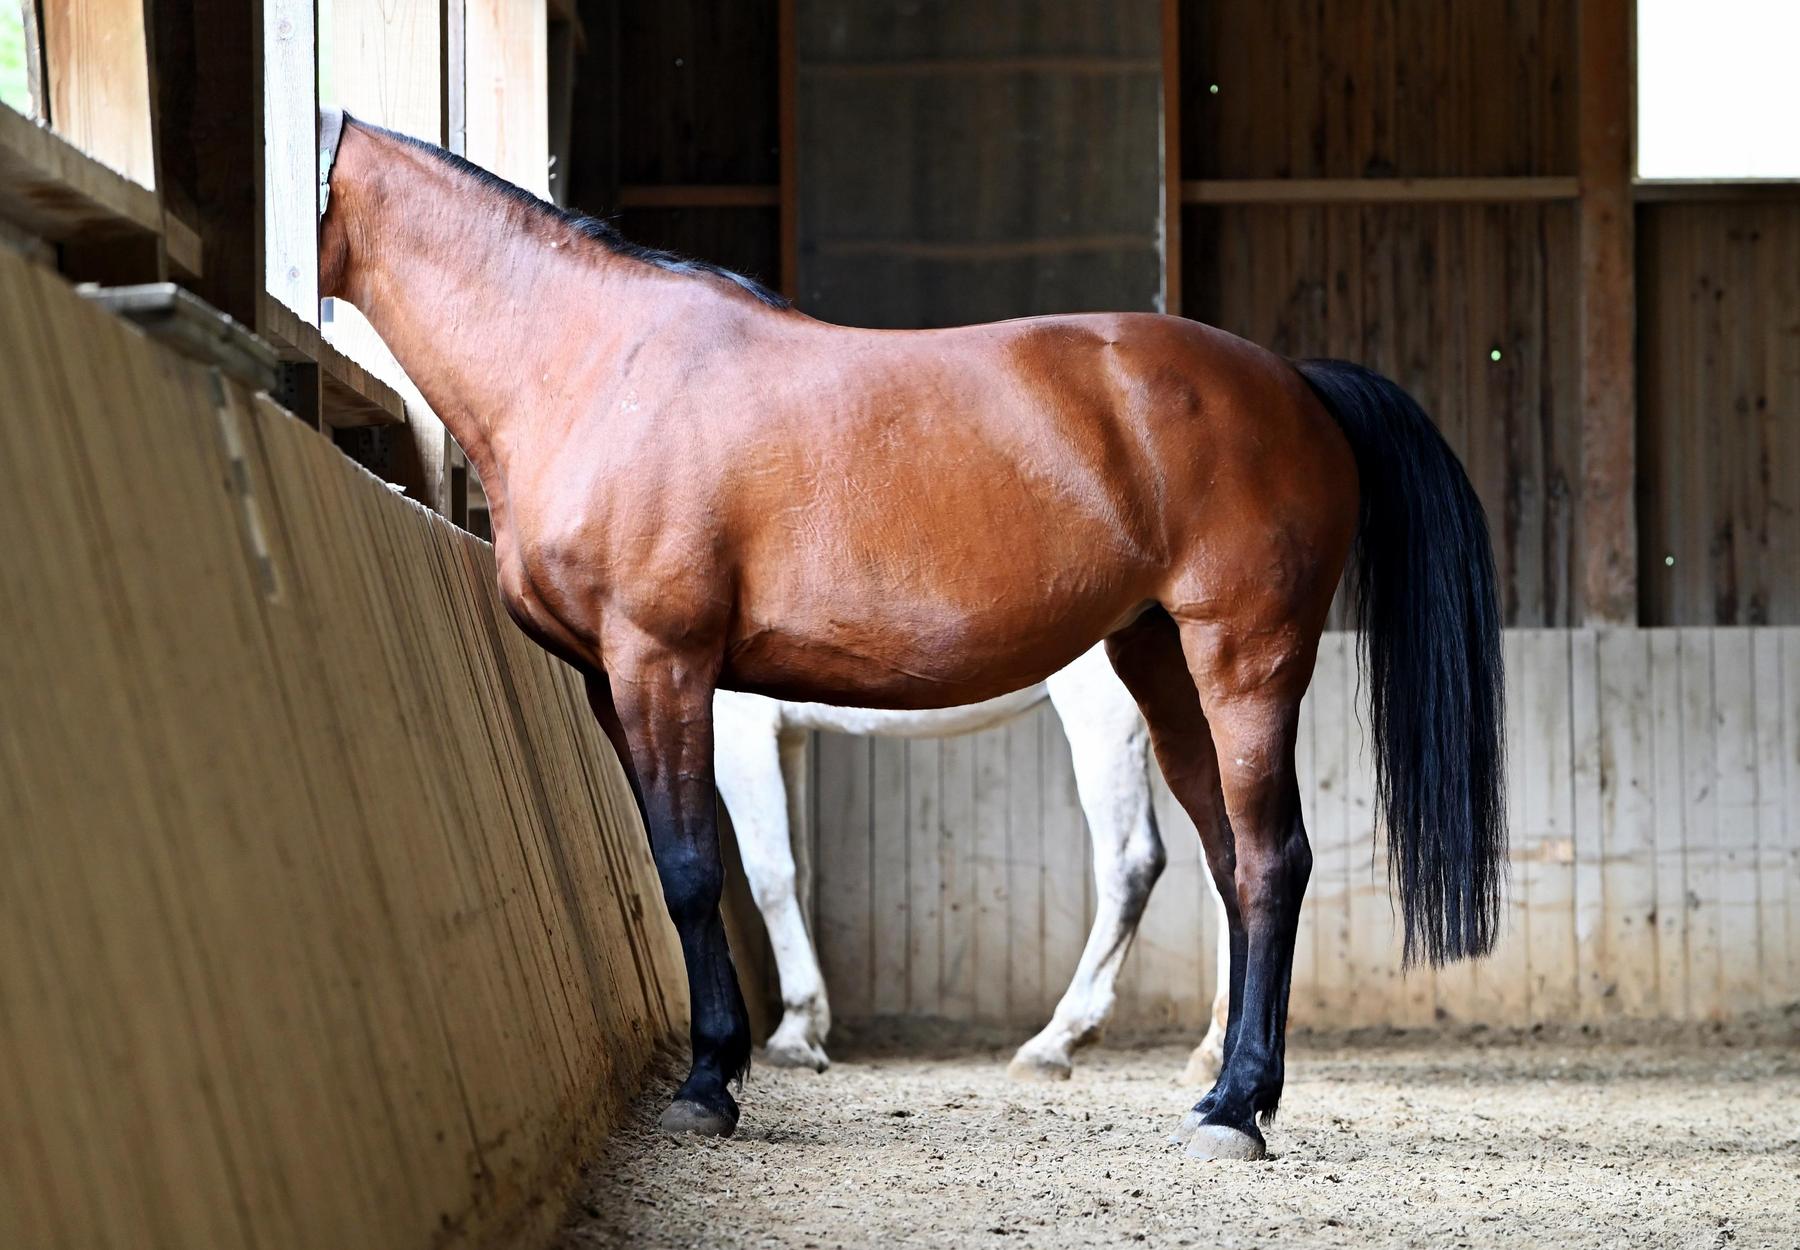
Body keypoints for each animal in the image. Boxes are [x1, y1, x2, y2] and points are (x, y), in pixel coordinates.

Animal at [714, 643, 1234, 1084]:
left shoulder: (739, 722)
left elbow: (771, 877)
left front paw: (794, 1032)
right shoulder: (788, 733)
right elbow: (799, 871)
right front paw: (810, 1024)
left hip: (1103, 706)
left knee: (1131, 861)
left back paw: (1055, 1042)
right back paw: (1213, 1051)